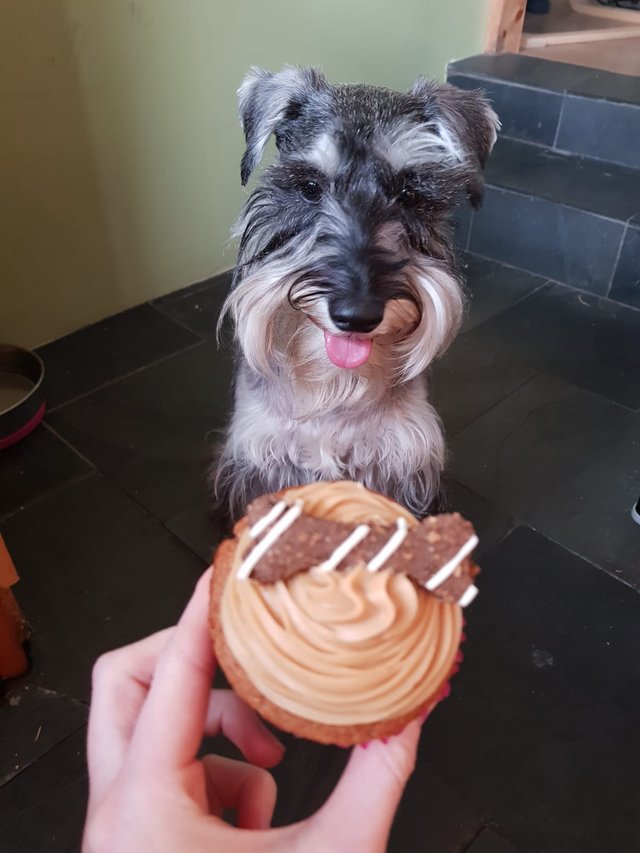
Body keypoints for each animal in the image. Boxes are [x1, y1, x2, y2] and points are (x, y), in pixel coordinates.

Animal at [215, 65, 500, 520]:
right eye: (310, 187)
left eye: (410, 195)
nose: (356, 315)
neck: (336, 388)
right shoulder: (261, 460)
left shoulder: (403, 465)